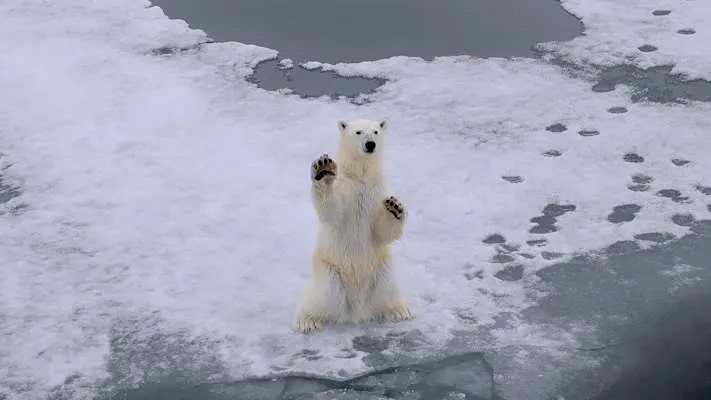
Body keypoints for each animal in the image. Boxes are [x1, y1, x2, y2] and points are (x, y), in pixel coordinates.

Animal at [292, 119, 414, 334]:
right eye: (358, 132)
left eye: (375, 131)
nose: (370, 144)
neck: (360, 177)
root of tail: (358, 308)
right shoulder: (345, 189)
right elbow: (333, 211)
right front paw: (323, 170)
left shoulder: (378, 190)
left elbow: (381, 232)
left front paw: (395, 207)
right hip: (330, 270)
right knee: (323, 296)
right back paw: (306, 321)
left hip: (381, 268)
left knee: (388, 287)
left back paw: (400, 311)